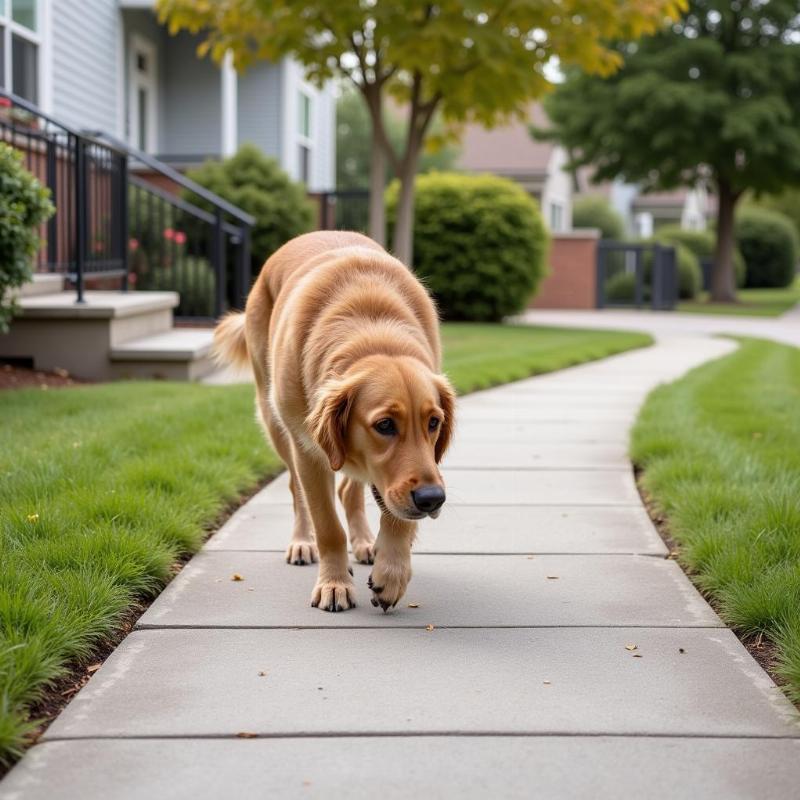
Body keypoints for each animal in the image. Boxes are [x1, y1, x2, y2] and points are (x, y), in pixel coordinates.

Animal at [214, 231, 456, 612]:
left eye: (433, 422)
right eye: (385, 425)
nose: (432, 499)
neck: (373, 331)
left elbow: (397, 517)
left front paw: (392, 573)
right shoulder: (309, 450)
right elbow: (327, 525)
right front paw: (335, 584)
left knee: (349, 490)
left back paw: (366, 542)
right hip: (275, 422)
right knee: (296, 489)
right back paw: (302, 542)